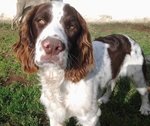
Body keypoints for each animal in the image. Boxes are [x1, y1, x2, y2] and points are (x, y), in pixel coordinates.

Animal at [13, 1, 150, 126]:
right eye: (40, 20)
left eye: (72, 26)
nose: (52, 46)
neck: (60, 77)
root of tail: (128, 38)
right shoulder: (55, 114)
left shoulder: (89, 117)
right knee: (111, 84)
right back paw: (104, 98)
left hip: (137, 75)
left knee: (144, 92)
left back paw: (145, 108)